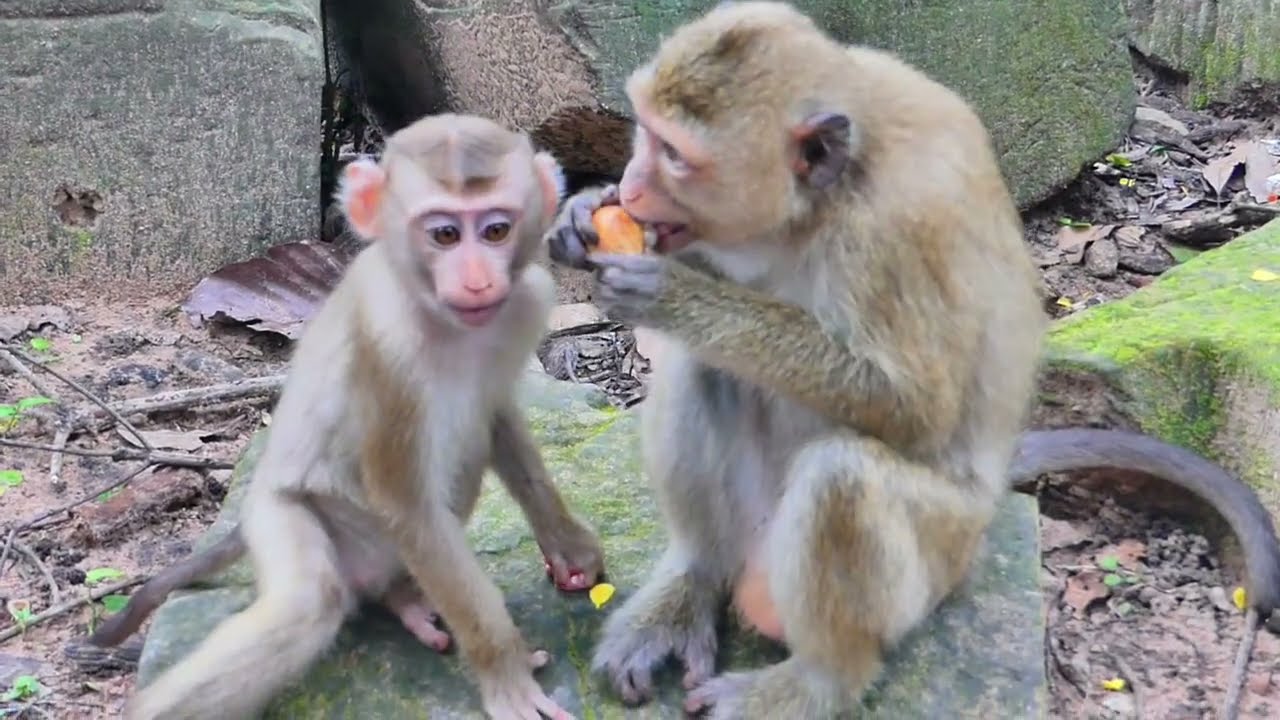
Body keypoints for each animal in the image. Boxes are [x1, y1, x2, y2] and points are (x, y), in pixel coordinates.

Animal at [113, 113, 605, 720]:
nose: (477, 280)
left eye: (495, 231)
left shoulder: (527, 303)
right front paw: (505, 675)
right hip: (282, 515)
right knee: (310, 602)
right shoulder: (388, 347)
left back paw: (402, 596)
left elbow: (496, 417)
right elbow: (407, 503)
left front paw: (569, 545)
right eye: (444, 235)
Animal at [542, 3, 1280, 717]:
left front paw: (671, 292)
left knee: (841, 476)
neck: (818, 203)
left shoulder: (895, 231)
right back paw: (693, 583)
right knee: (705, 367)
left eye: (673, 154)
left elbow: (916, 408)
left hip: (939, 556)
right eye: (645, 134)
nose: (631, 185)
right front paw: (581, 214)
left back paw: (824, 680)